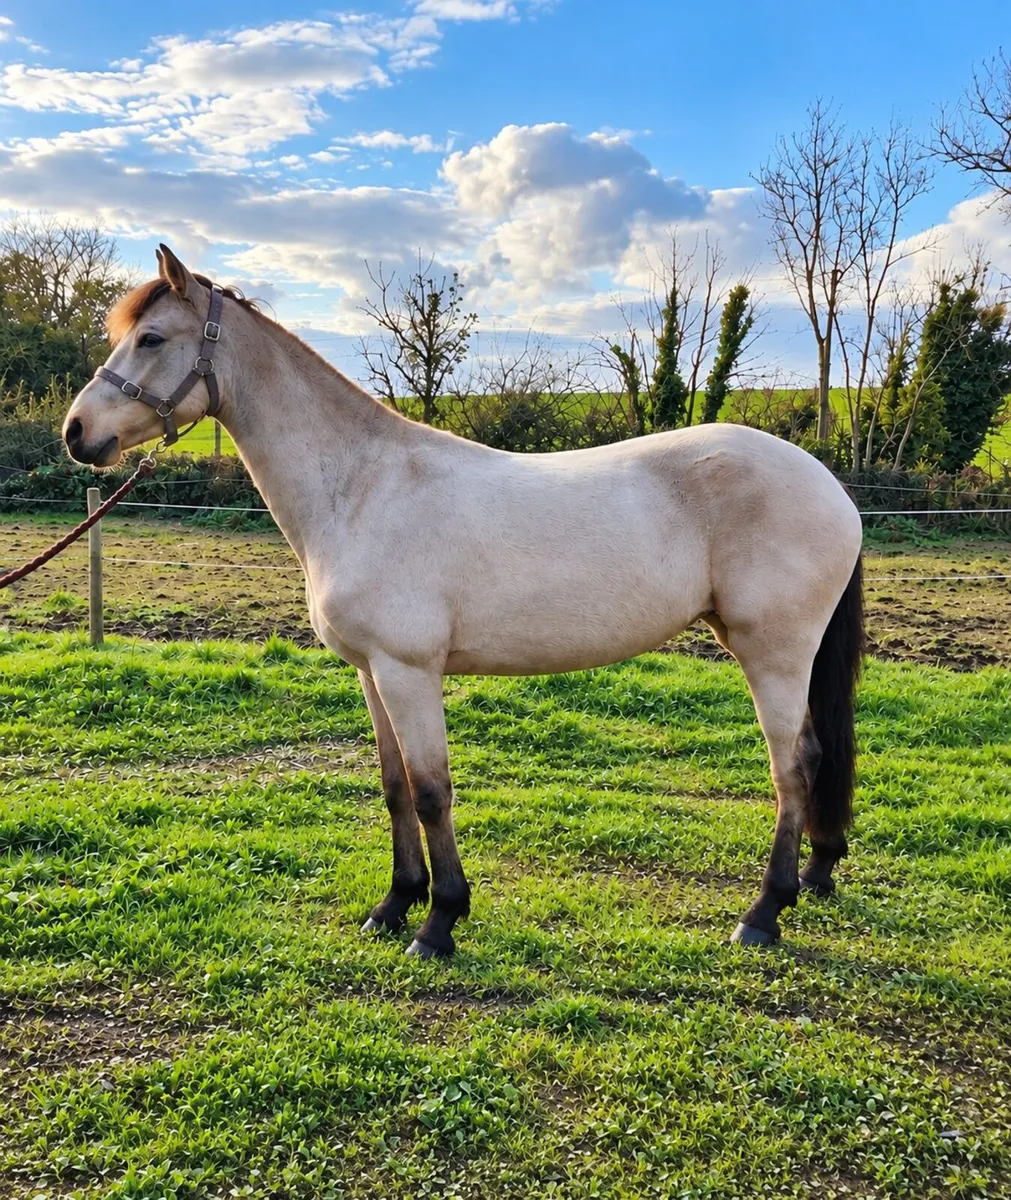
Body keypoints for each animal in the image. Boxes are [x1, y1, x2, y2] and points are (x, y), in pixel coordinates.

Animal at [63, 245, 864, 958]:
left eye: (151, 338)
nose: (77, 434)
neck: (362, 487)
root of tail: (830, 487)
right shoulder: (372, 672)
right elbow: (393, 787)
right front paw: (393, 905)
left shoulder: (409, 670)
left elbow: (430, 792)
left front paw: (439, 921)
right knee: (813, 760)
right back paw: (815, 875)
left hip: (773, 653)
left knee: (792, 766)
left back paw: (763, 914)